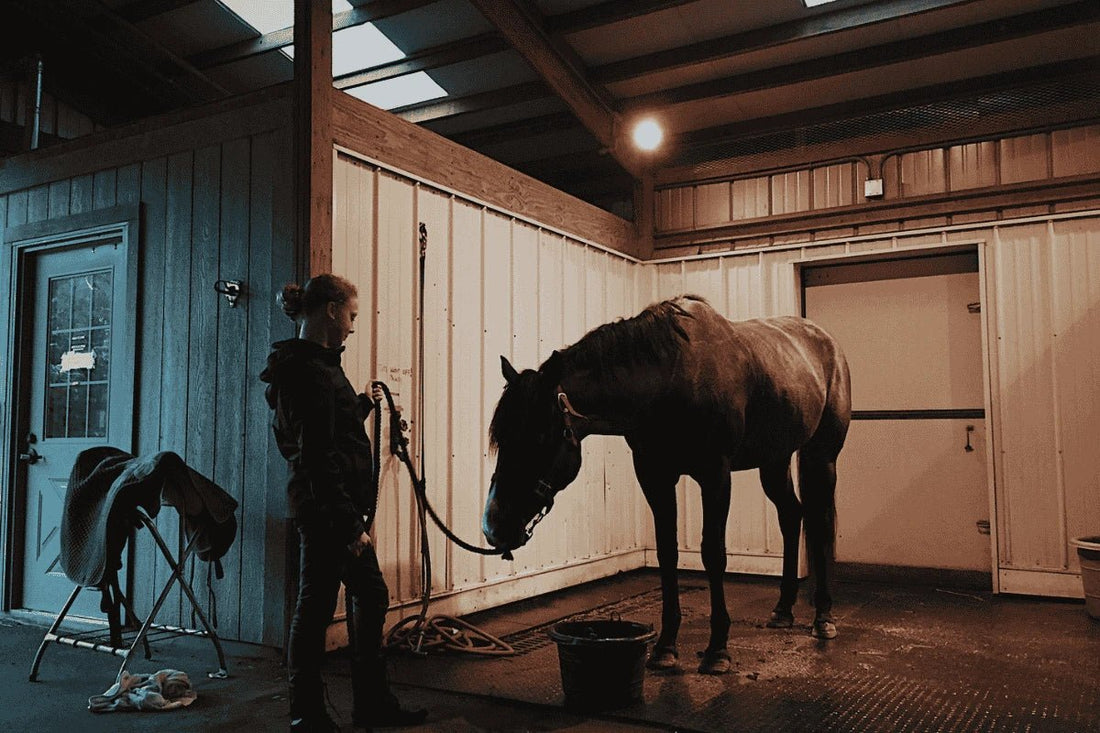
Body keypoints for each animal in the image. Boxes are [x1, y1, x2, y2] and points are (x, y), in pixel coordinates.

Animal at [481, 294, 849, 669]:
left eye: (540, 436)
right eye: (500, 438)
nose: (493, 526)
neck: (670, 381)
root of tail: (825, 342)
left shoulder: (715, 475)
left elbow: (713, 553)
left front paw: (718, 649)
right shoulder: (654, 475)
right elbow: (666, 552)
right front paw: (665, 647)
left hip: (821, 457)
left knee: (820, 522)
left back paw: (823, 617)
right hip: (774, 461)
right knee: (791, 516)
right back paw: (783, 609)